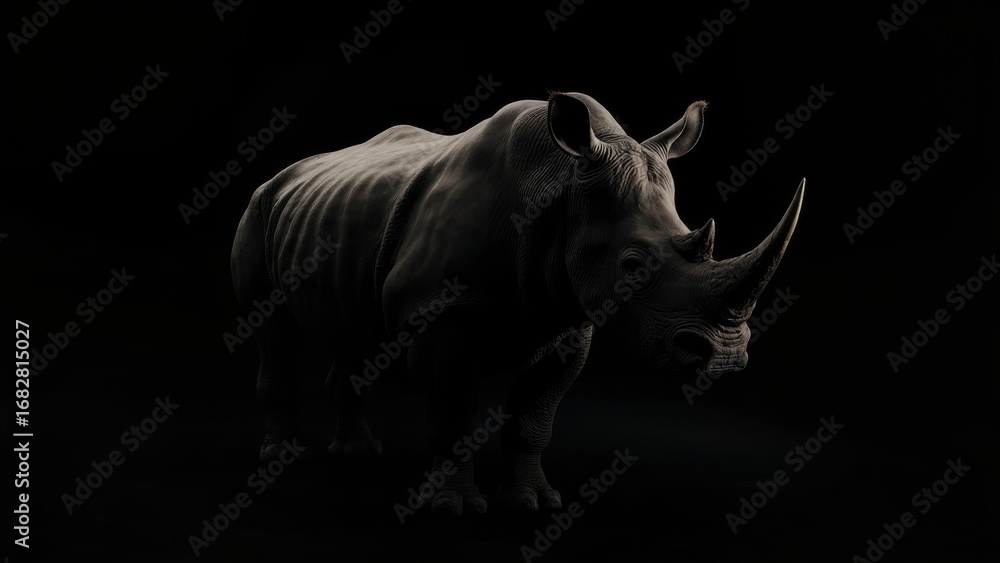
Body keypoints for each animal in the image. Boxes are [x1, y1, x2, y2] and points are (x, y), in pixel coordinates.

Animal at [230, 91, 804, 515]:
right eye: (632, 266)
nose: (724, 356)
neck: (560, 185)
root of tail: (287, 172)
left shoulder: (566, 320)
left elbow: (533, 421)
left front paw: (534, 503)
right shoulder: (439, 318)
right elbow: (453, 418)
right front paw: (454, 508)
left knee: (352, 333)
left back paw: (357, 456)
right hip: (259, 208)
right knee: (273, 329)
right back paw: (281, 459)